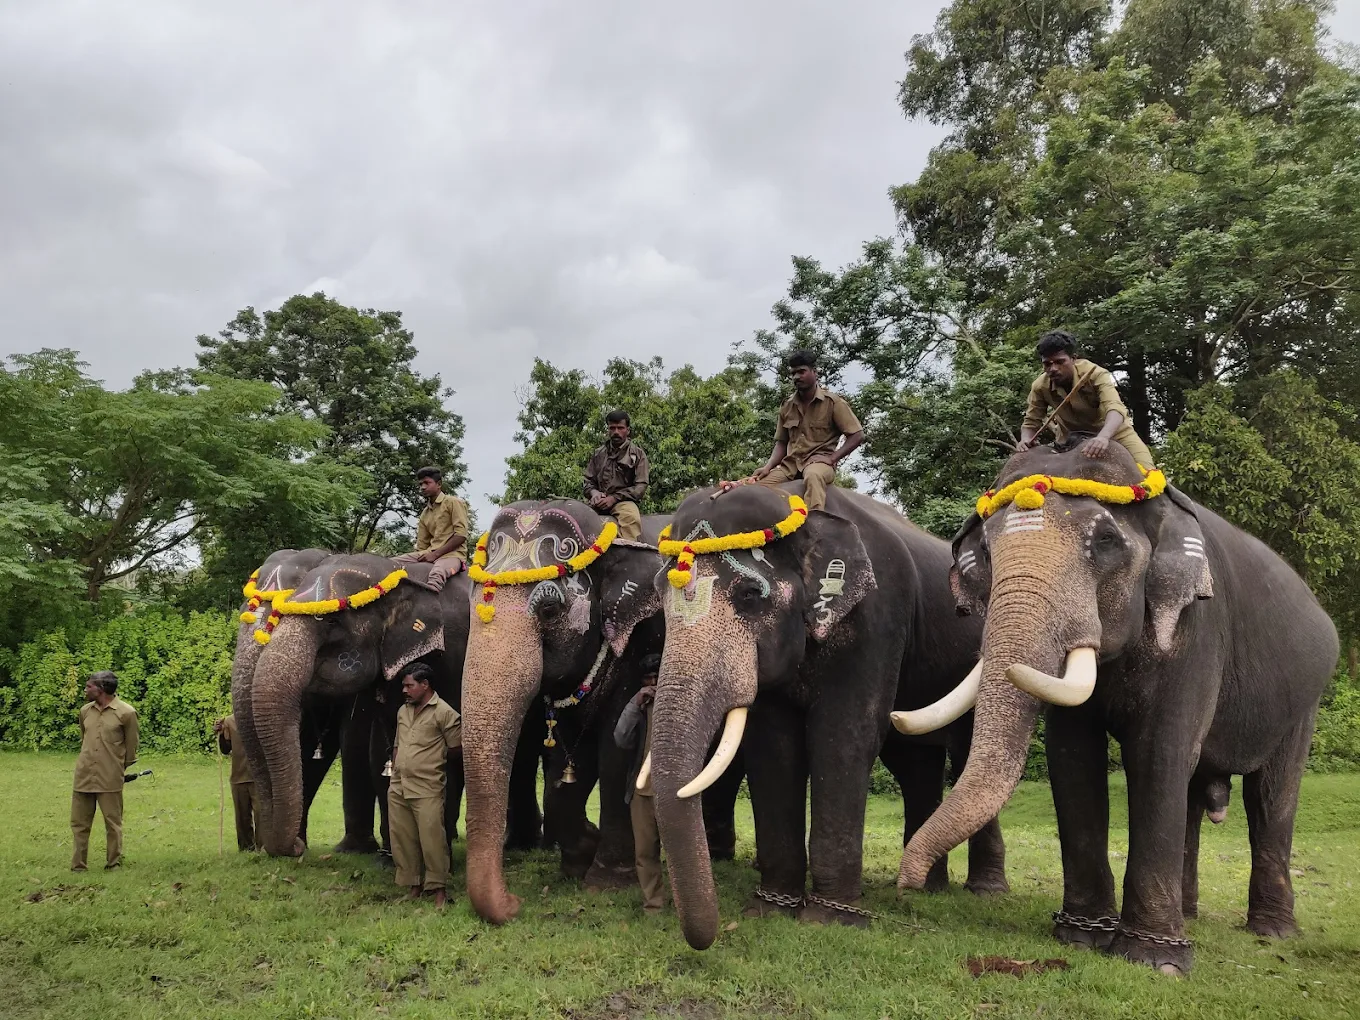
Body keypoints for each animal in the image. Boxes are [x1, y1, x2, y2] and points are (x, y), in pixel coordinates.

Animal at [246, 552, 544, 857]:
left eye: (332, 621)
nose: (296, 848)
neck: (394, 572)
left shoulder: (453, 656)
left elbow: (448, 751)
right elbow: (381, 749)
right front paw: (392, 857)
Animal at [649, 482, 1006, 951]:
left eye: (748, 595)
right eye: (660, 597)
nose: (711, 935)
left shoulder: (876, 617)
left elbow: (844, 739)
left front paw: (830, 920)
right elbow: (773, 747)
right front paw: (772, 909)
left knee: (965, 752)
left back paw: (985, 892)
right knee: (914, 763)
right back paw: (923, 888)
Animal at [895, 439, 1338, 975]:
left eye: (1106, 540)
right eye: (984, 552)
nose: (906, 885)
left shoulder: (1196, 629)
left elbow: (1158, 753)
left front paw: (1157, 962)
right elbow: (1072, 757)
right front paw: (1081, 938)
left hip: (1305, 698)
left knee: (1271, 795)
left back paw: (1271, 931)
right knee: (1196, 796)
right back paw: (1190, 915)